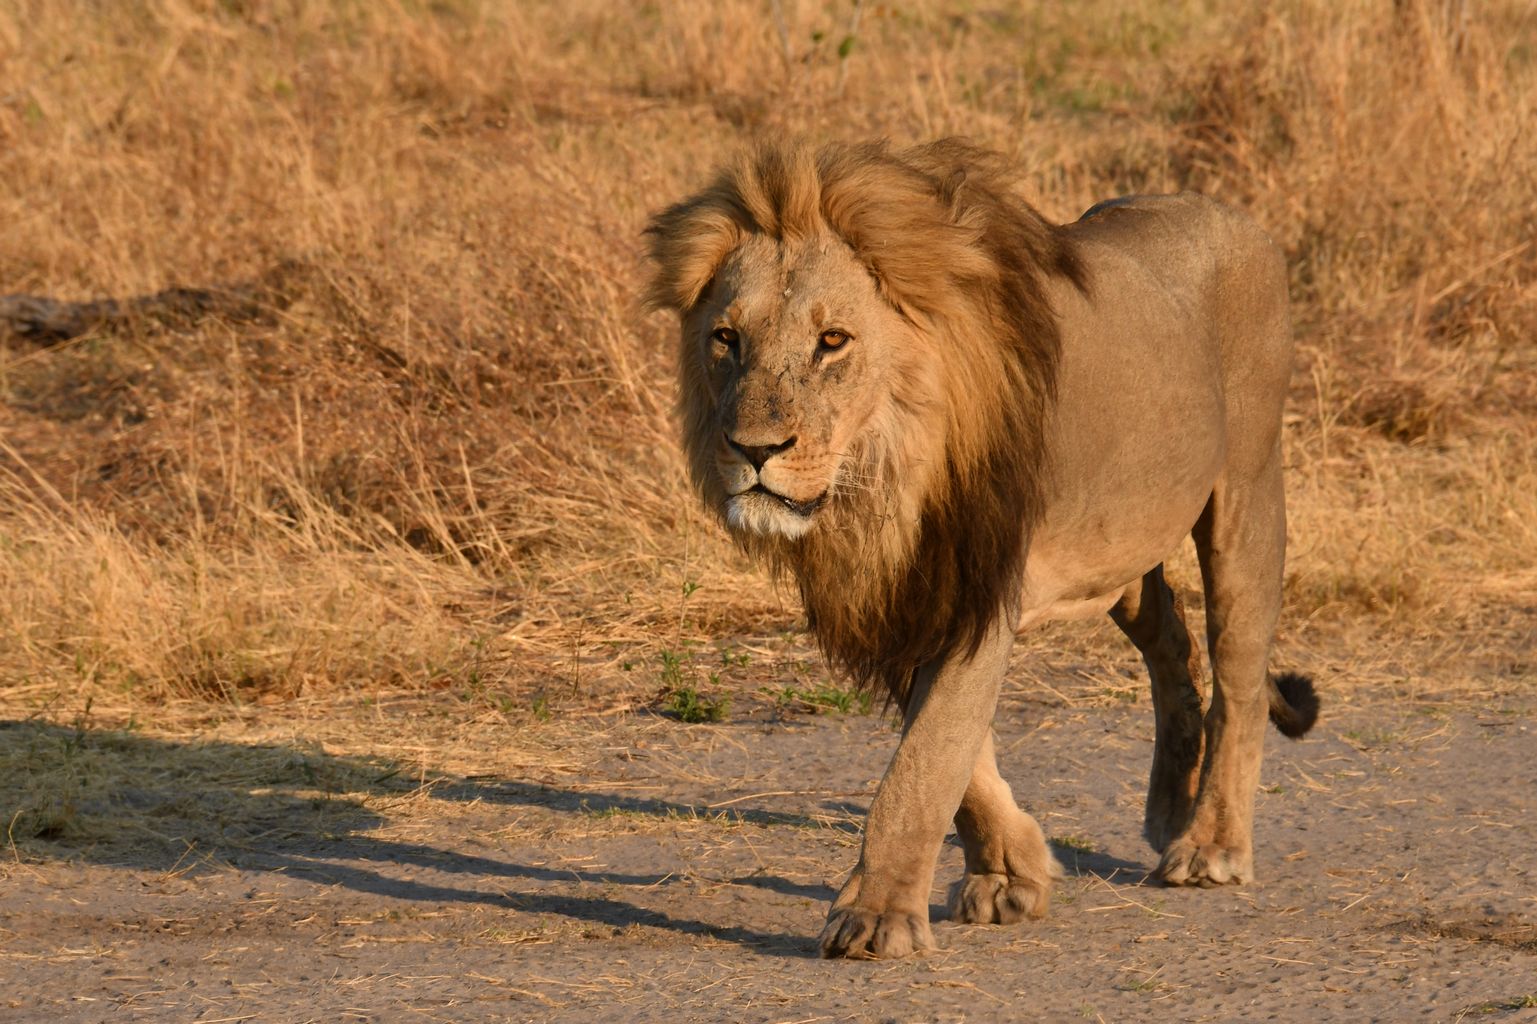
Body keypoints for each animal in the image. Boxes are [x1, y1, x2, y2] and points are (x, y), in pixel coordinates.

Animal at [645, 139, 1319, 960]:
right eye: (726, 339)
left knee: (1239, 677)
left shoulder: (979, 585)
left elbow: (925, 760)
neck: (886, 473)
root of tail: (1227, 212)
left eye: (832, 341)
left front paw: (876, 917)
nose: (753, 450)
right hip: (1119, 544)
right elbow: (959, 760)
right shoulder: (906, 594)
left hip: (1246, 493)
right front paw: (1012, 874)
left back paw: (1211, 842)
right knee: (1172, 644)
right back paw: (1168, 808)